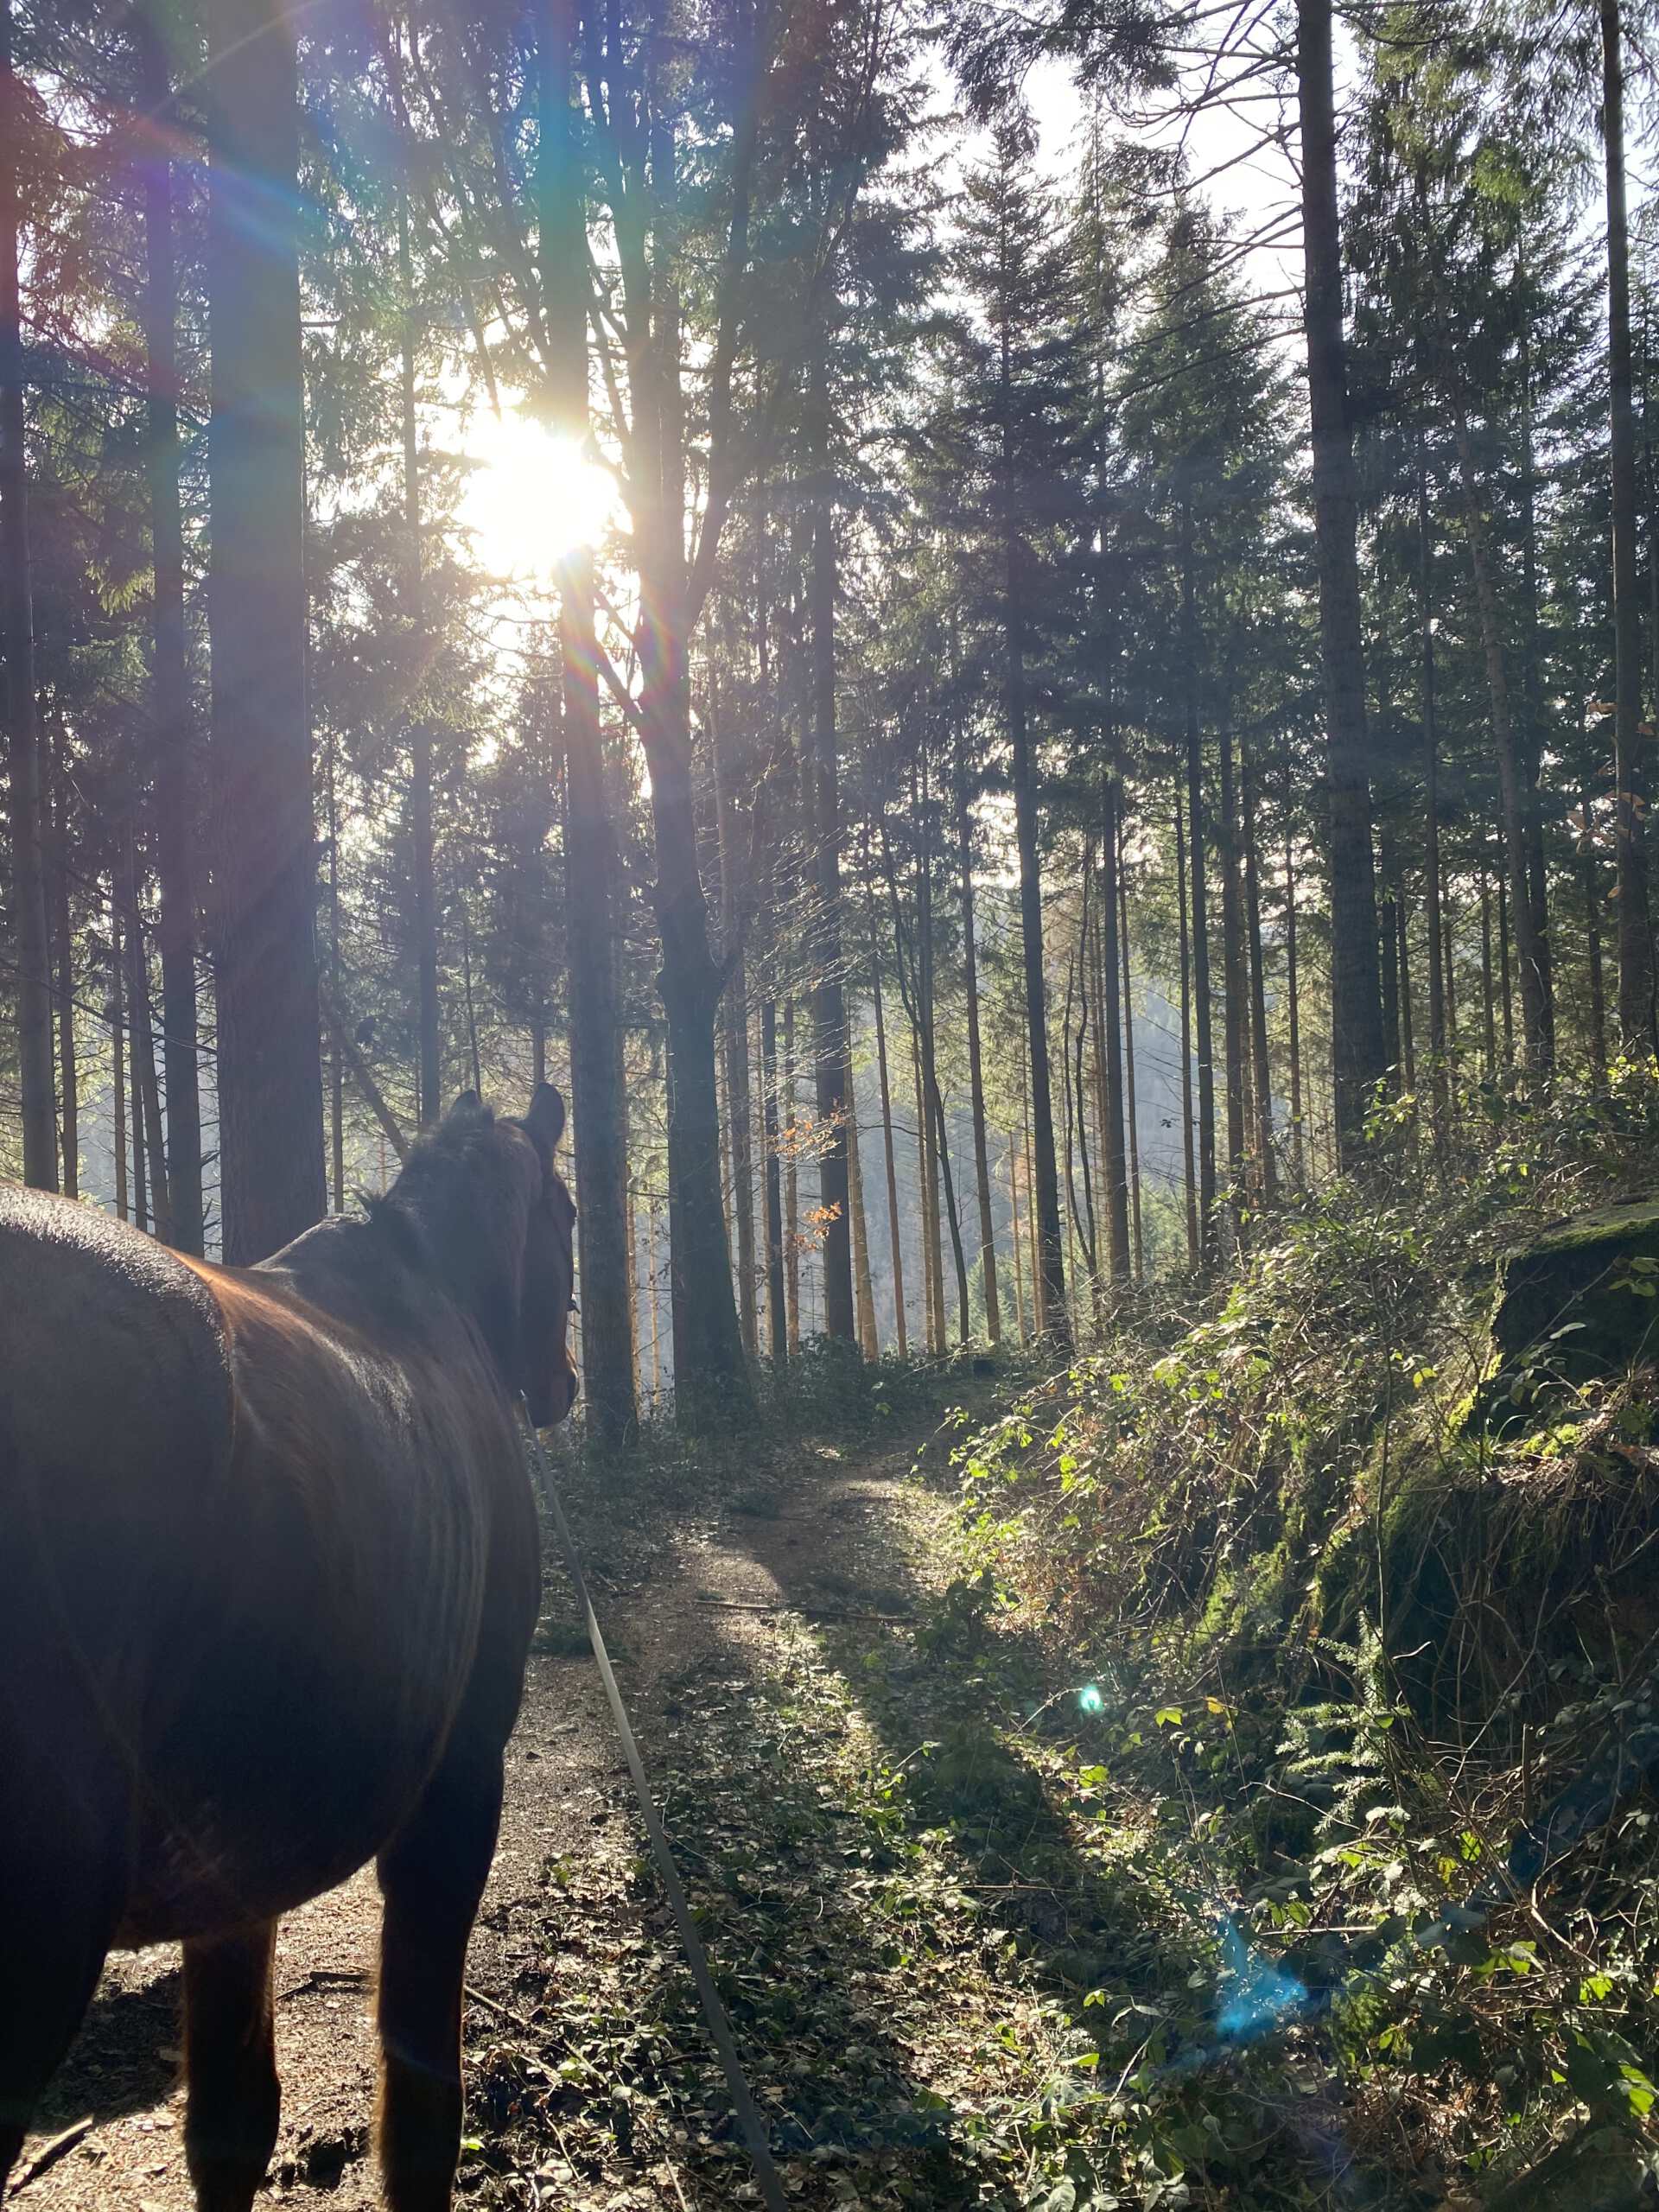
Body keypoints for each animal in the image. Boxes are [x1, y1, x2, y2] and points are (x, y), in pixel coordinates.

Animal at [0, 1084, 576, 2212]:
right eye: (569, 1215)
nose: (566, 1383)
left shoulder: (233, 1869)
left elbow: (231, 2128)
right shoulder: (459, 1788)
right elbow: (422, 2112)